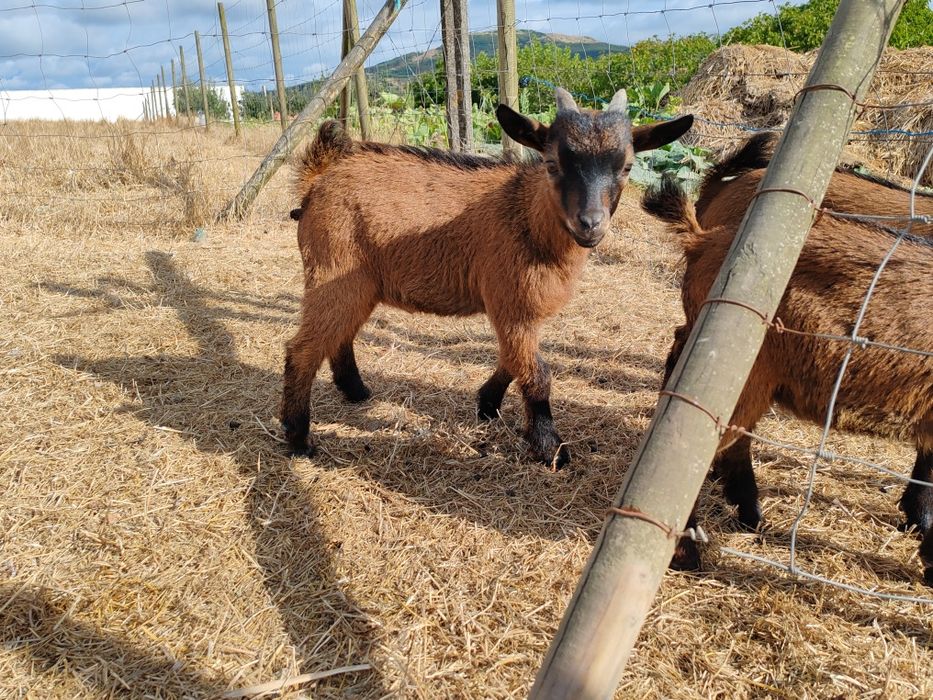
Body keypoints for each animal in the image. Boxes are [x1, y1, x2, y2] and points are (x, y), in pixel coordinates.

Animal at [280, 88, 694, 468]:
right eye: (552, 163)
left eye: (626, 167)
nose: (590, 224)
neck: (526, 216)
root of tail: (318, 181)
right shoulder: (510, 300)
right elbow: (537, 373)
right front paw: (551, 449)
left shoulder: (522, 309)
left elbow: (513, 359)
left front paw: (487, 406)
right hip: (333, 272)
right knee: (302, 348)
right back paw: (298, 437)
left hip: (360, 285)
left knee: (340, 335)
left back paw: (356, 392)